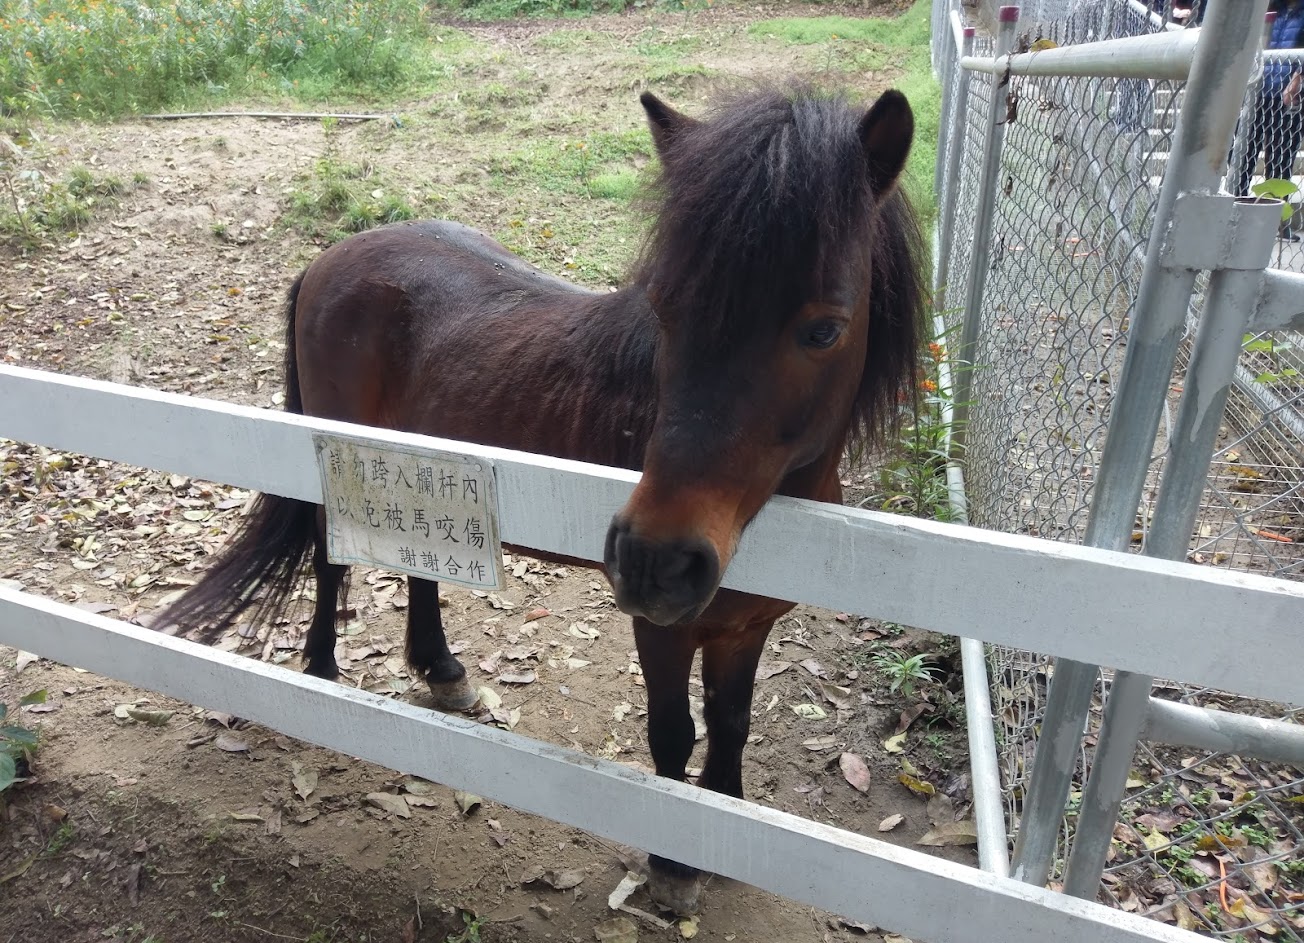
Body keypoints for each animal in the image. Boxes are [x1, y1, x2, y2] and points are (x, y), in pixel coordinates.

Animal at [158, 81, 928, 915]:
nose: (656, 561)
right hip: (337, 470)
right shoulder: (662, 630)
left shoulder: (744, 627)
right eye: (664, 309)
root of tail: (328, 258)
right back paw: (325, 673)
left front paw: (724, 822)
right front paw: (673, 860)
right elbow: (673, 732)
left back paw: (442, 671)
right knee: (333, 566)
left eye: (824, 330)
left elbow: (731, 723)